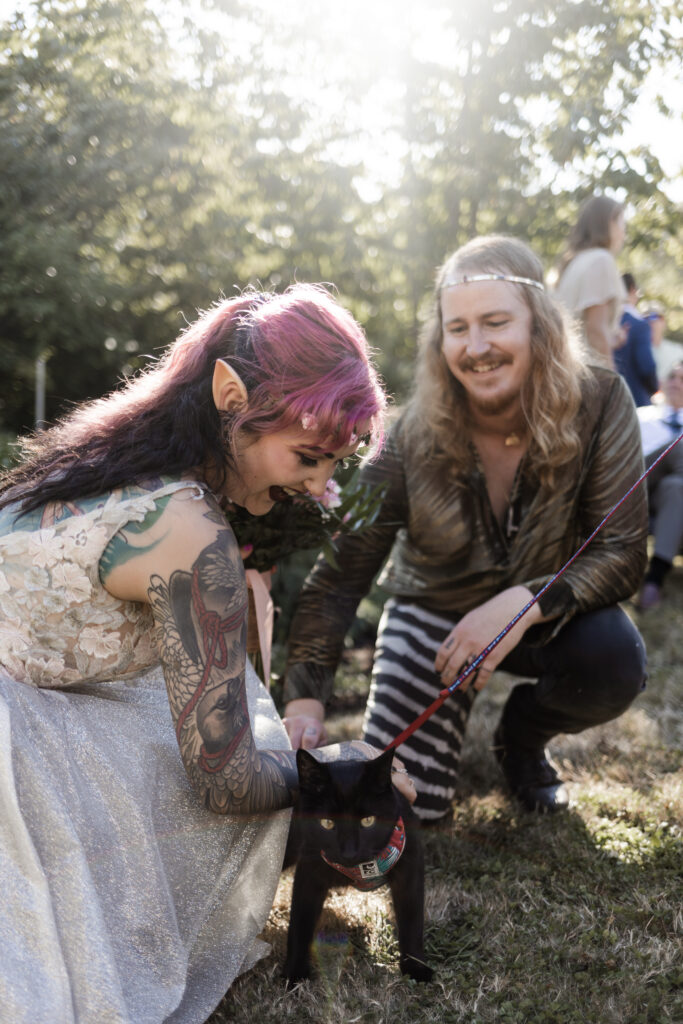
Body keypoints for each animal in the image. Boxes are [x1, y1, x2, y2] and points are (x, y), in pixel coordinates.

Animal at [282, 749, 432, 987]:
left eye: (367, 821)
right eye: (327, 823)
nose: (349, 852)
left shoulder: (410, 868)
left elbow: (412, 920)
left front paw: (416, 968)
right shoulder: (309, 872)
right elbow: (299, 923)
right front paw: (295, 973)